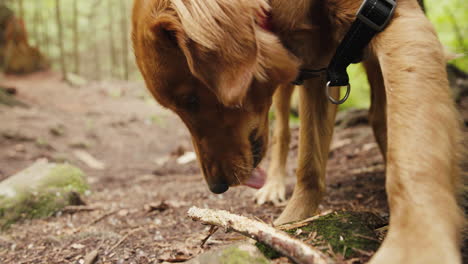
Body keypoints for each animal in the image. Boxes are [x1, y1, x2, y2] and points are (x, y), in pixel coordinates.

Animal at [132, 0, 464, 262]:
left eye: (190, 100)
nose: (217, 187)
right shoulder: (319, 69)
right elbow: (308, 162)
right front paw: (291, 222)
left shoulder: (397, 23)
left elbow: (412, 151)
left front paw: (416, 244)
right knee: (284, 133)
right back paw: (274, 186)